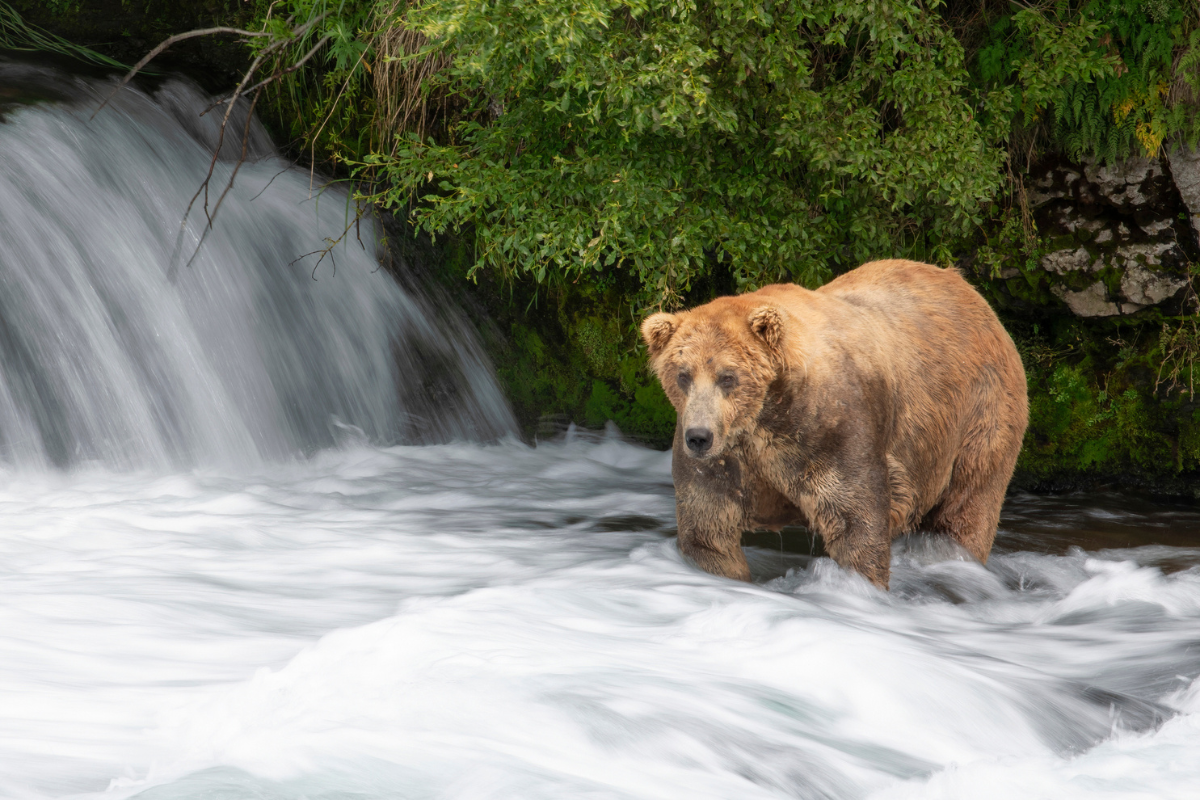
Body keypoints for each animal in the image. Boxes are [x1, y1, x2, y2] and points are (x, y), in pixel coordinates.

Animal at [643, 261, 1027, 587]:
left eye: (728, 376)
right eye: (682, 375)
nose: (699, 437)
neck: (768, 416)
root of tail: (972, 294)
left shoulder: (835, 431)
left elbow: (856, 521)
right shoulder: (728, 457)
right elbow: (707, 530)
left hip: (979, 413)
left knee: (967, 508)